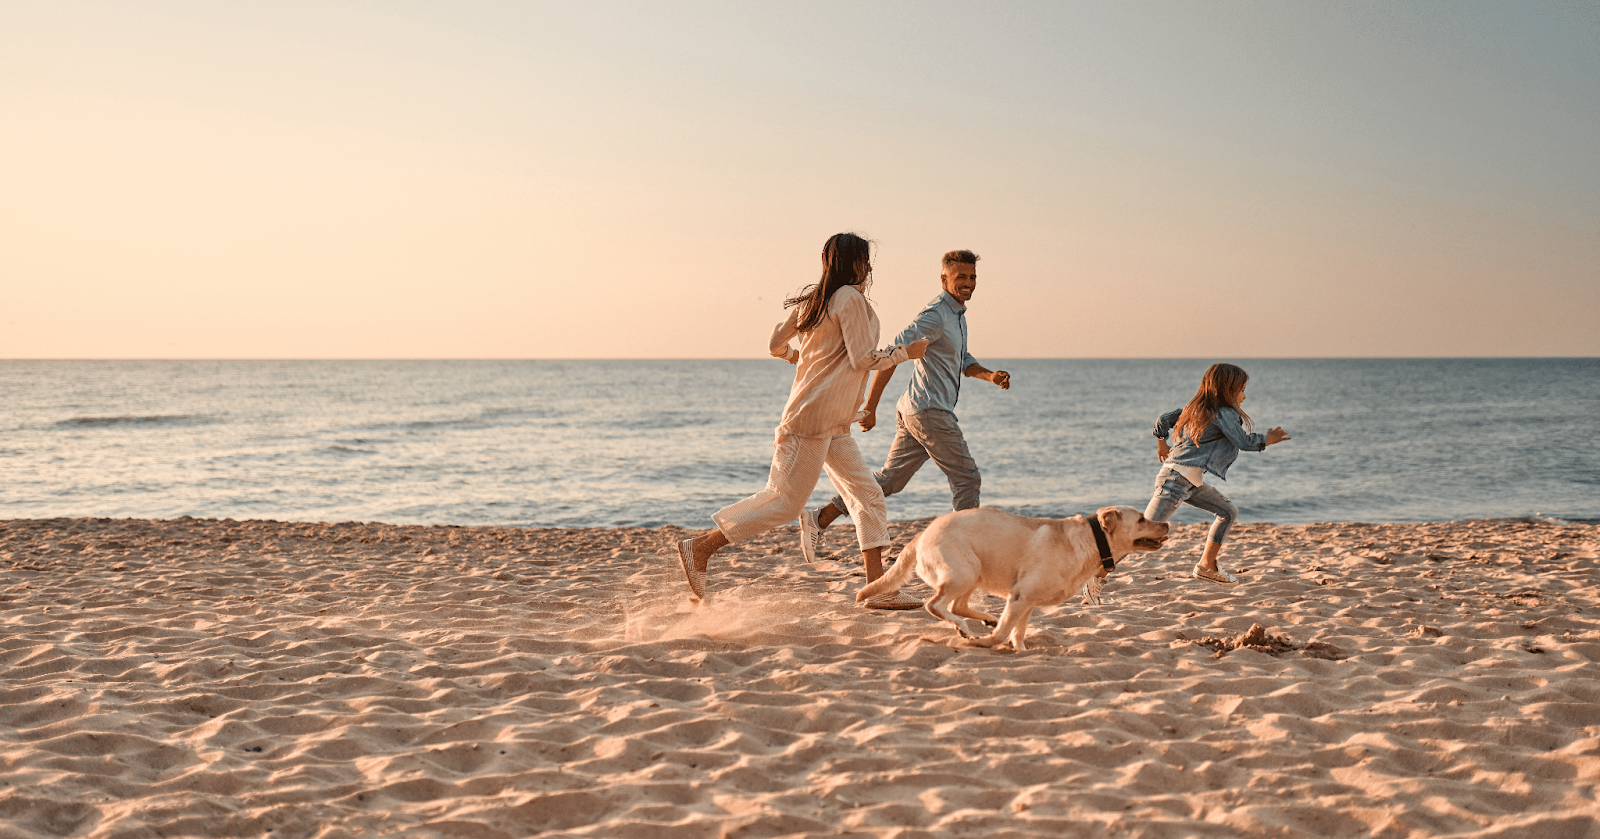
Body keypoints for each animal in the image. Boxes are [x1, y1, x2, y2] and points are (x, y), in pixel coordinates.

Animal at [857, 509, 1171, 653]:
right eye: (1141, 519)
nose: (1167, 523)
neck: (1092, 541)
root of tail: (923, 533)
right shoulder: (1021, 596)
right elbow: (1005, 632)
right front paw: (987, 642)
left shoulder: (1026, 602)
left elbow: (1018, 631)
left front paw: (1019, 650)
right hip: (964, 571)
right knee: (935, 606)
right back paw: (965, 629)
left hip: (974, 573)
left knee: (956, 606)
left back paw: (984, 619)